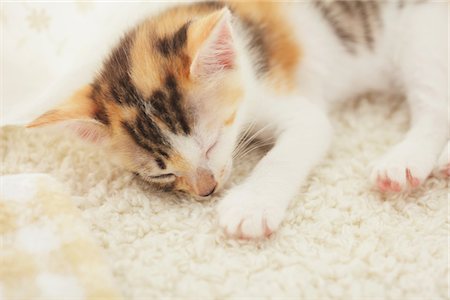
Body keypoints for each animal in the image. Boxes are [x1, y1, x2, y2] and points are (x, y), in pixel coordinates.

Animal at [28, 0, 446, 239]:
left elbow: (292, 146)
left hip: (422, 34)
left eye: (211, 141)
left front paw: (251, 207)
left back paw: (403, 163)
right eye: (162, 174)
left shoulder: (279, 94)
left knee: (435, 106)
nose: (206, 189)